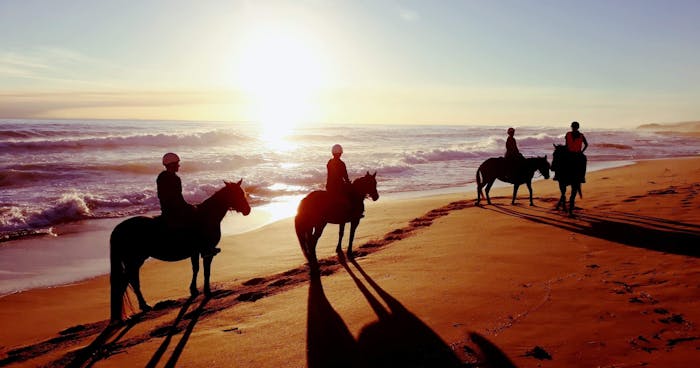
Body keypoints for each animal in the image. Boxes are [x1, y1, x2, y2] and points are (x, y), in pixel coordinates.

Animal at [108, 180, 250, 320]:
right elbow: (206, 271)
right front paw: (207, 291)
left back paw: (140, 307)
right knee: (127, 282)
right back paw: (132, 312)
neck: (206, 215)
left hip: (134, 261)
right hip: (134, 260)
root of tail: (118, 229)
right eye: (237, 194)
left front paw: (194, 290)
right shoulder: (207, 252)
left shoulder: (195, 252)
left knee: (131, 281)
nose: (247, 210)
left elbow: (196, 269)